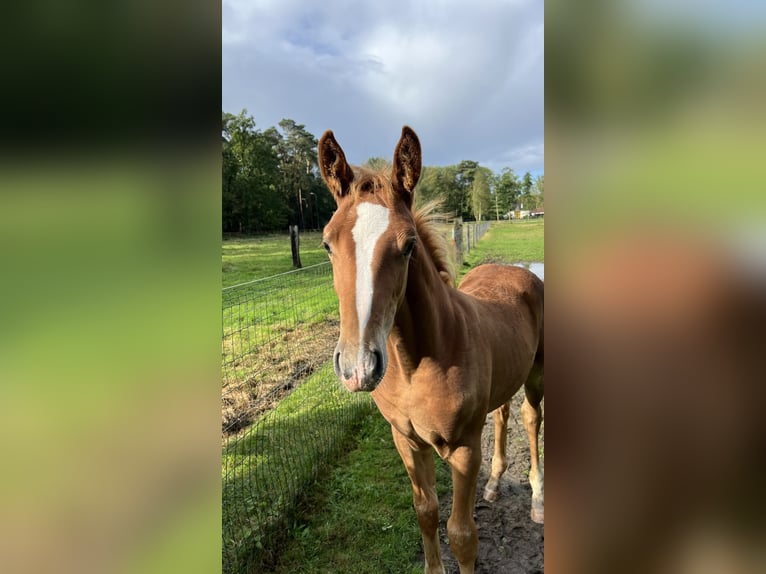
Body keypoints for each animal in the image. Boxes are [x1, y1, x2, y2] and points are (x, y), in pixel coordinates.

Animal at [320, 127, 544, 574]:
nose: (357, 367)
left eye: (408, 246)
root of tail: (517, 270)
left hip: (538, 374)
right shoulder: (406, 441)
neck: (416, 365)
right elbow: (425, 512)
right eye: (326, 245)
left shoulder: (464, 449)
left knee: (532, 420)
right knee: (503, 415)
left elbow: (462, 535)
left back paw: (538, 501)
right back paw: (495, 484)